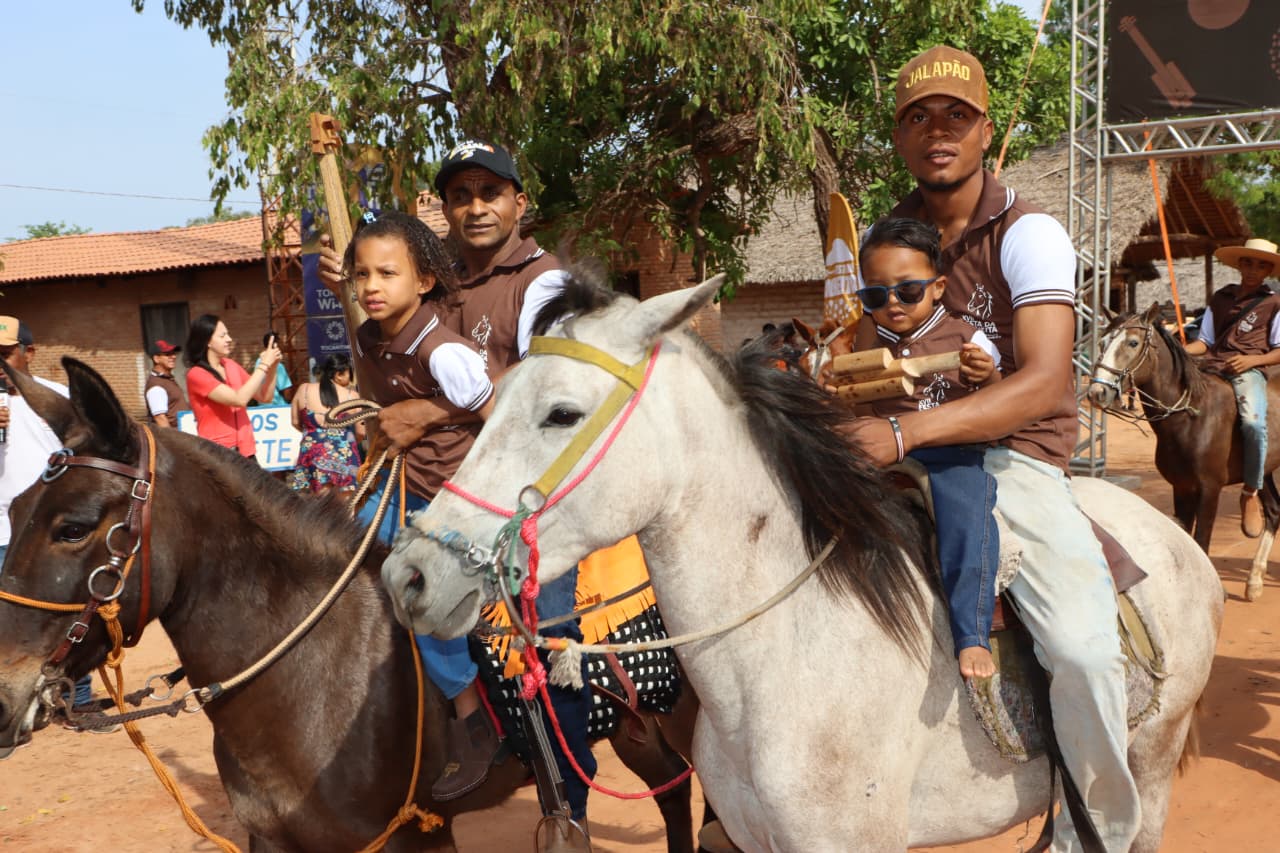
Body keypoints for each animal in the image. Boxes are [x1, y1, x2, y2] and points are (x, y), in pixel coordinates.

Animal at [0, 359, 696, 853]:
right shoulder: (275, 839)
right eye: (14, 510)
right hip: (638, 723)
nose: (5, 696)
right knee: (675, 784)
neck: (314, 672)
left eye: (72, 528)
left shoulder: (414, 838)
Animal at [1087, 301, 1280, 600]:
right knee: (1273, 511)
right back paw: (1254, 581)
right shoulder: (1182, 487)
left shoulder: (1209, 489)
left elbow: (1201, 540)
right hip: (1265, 469)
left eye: (1133, 342)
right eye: (1103, 341)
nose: (1097, 392)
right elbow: (1187, 539)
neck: (1191, 415)